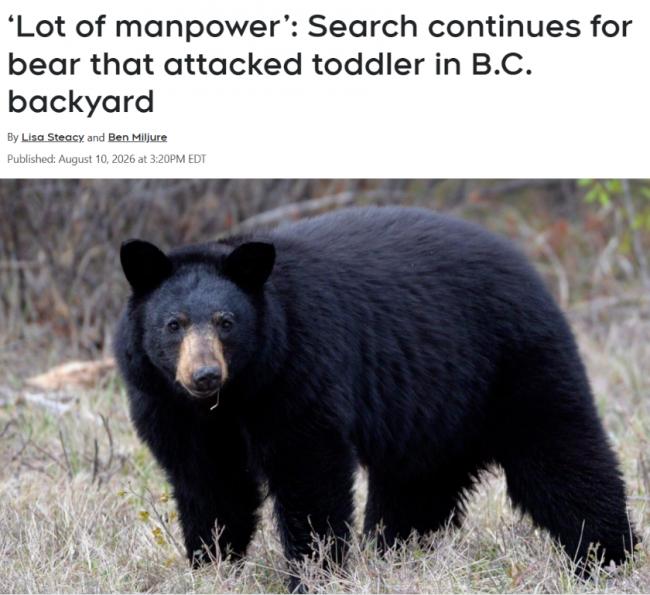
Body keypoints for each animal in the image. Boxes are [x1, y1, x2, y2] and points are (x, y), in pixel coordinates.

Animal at [114, 206, 636, 590]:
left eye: (227, 322)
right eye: (173, 324)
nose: (204, 374)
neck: (232, 397)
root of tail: (527, 267)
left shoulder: (297, 370)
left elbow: (308, 469)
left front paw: (313, 574)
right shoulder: (168, 406)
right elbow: (209, 485)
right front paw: (212, 566)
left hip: (515, 364)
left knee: (561, 456)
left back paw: (608, 557)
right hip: (433, 411)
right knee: (416, 490)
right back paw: (398, 554)